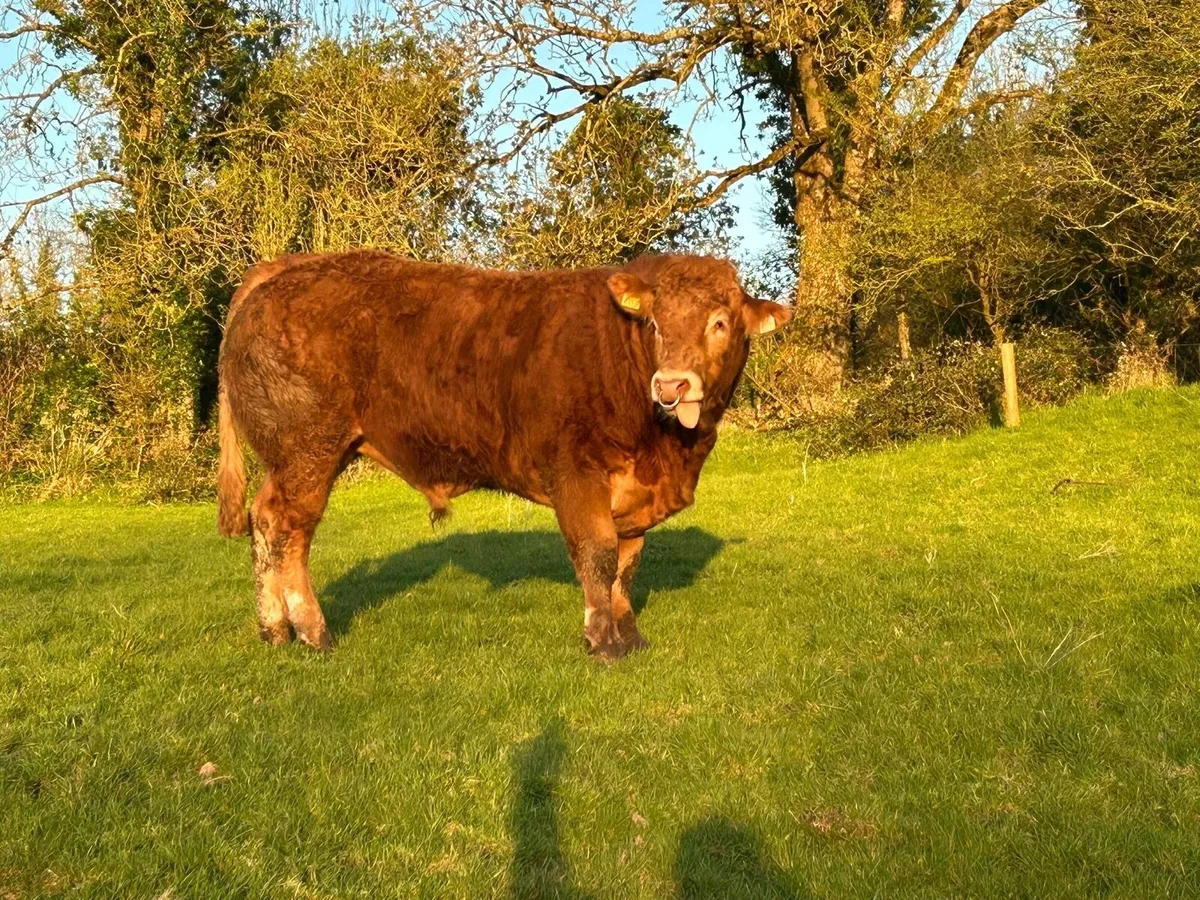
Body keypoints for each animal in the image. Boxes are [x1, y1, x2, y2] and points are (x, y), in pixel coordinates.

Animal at [216, 251, 791, 660]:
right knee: (287, 530)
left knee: (264, 523)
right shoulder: (577, 472)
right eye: (653, 323)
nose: (671, 384)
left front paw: (630, 635)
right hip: (308, 451)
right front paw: (603, 642)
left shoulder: (634, 492)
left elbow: (627, 565)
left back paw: (275, 630)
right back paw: (313, 632)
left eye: (720, 322)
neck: (666, 448)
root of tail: (283, 268)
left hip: (302, 459)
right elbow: (598, 554)